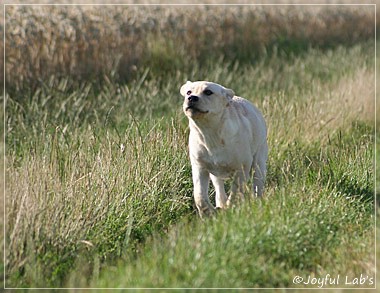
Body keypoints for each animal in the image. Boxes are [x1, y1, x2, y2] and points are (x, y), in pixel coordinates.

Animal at [180, 80, 268, 217]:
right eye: (189, 92)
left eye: (208, 92)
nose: (191, 98)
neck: (210, 133)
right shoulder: (199, 167)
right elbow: (199, 195)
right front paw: (208, 213)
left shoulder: (241, 168)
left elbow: (235, 192)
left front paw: (230, 208)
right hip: (215, 175)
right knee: (219, 188)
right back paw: (220, 204)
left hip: (259, 162)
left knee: (257, 185)